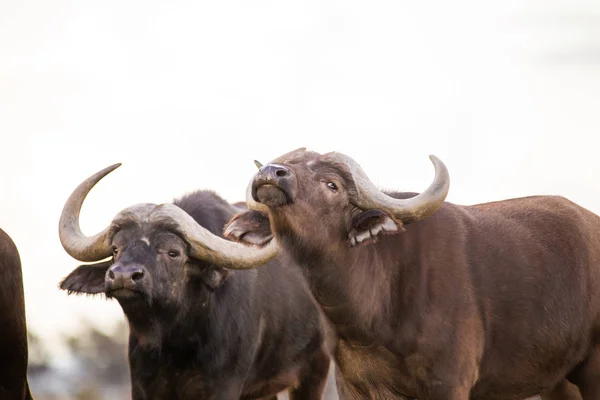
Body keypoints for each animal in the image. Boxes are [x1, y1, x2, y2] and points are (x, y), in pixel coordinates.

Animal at [56, 163, 330, 400]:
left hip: (315, 370)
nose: (123, 275)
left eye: (173, 252)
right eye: (115, 249)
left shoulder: (224, 387)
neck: (173, 343)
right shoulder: (142, 386)